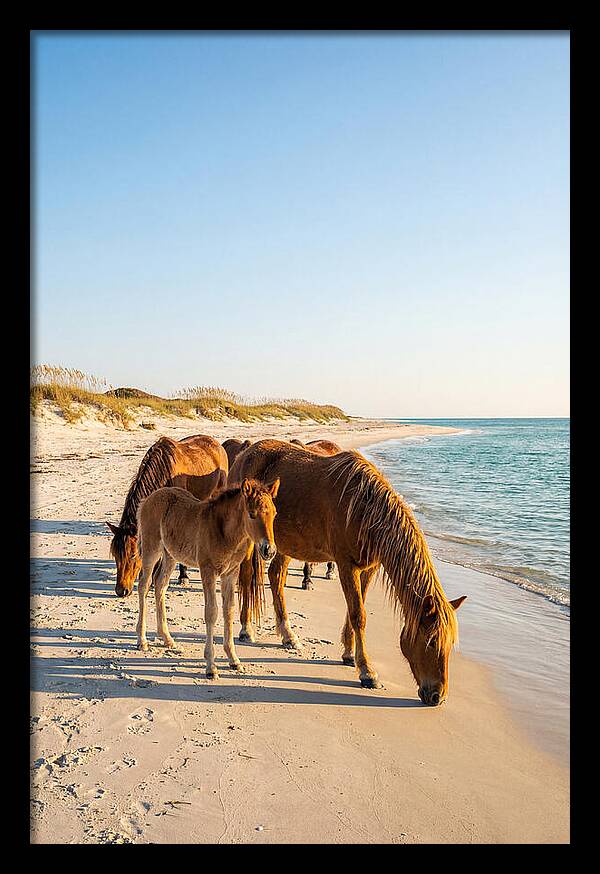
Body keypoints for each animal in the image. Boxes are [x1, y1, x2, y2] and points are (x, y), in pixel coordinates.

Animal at [107, 434, 228, 597]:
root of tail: (216, 444)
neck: (164, 473)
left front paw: (183, 576)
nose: (121, 591)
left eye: (132, 554)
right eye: (115, 555)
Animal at [135, 477, 279, 678]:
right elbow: (212, 612)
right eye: (252, 514)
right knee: (144, 584)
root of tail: (148, 499)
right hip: (151, 549)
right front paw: (211, 666)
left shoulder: (230, 573)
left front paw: (234, 659)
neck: (225, 532)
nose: (269, 550)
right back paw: (142, 640)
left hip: (170, 555)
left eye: (274, 514)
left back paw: (167, 638)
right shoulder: (208, 571)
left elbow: (229, 610)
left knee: (159, 585)